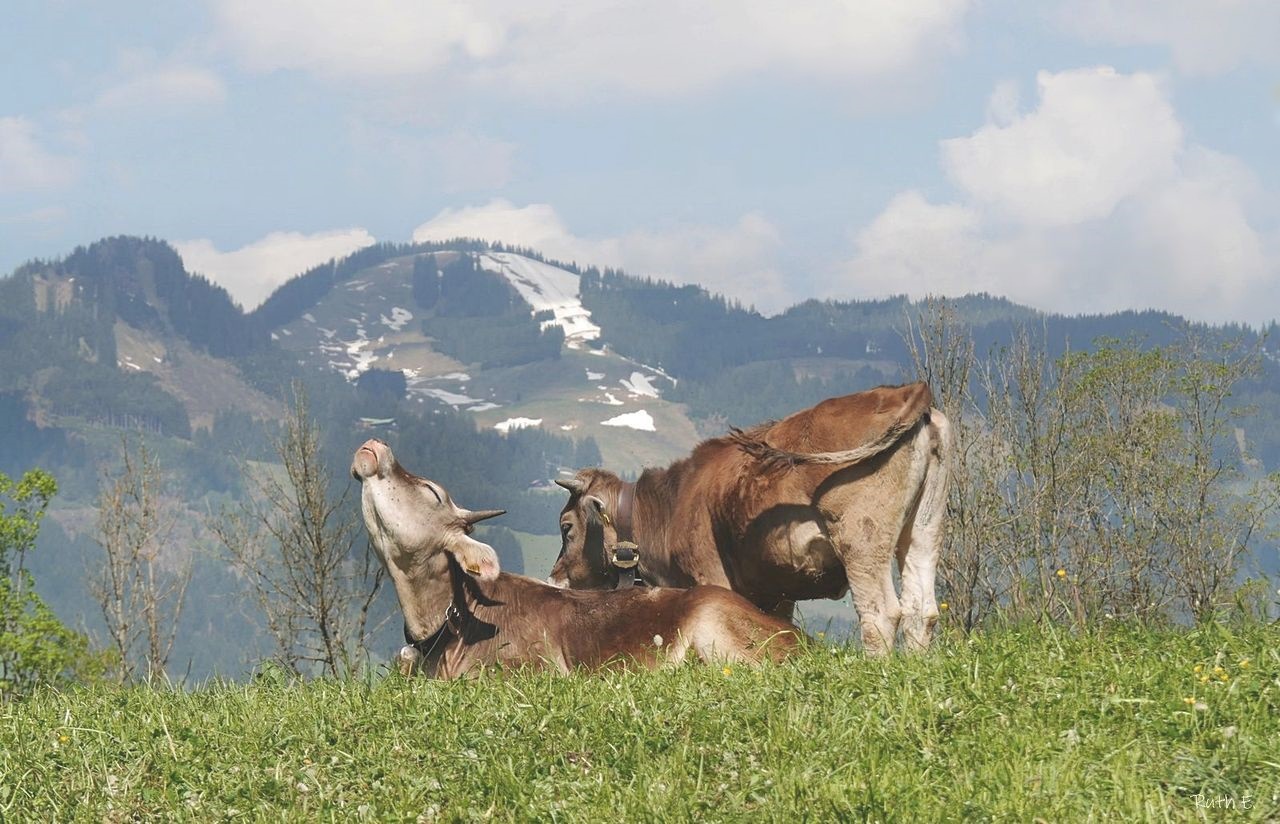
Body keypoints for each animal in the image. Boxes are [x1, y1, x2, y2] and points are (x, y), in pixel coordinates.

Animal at [550, 381, 952, 655]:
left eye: (566, 527)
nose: (554, 580)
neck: (672, 505)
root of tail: (906, 390)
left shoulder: (710, 574)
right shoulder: (778, 592)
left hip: (861, 537)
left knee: (881, 613)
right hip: (924, 529)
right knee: (921, 609)